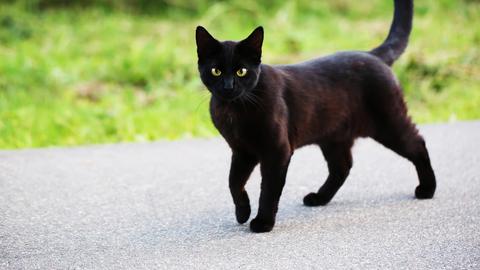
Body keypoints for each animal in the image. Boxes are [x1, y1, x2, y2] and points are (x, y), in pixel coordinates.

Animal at [194, 0, 436, 232]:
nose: (228, 86)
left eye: (241, 71)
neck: (234, 110)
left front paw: (263, 223)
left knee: (418, 143)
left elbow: (268, 190)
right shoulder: (242, 151)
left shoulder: (276, 151)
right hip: (333, 136)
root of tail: (372, 55)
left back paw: (427, 189)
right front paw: (242, 213)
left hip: (389, 122)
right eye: (216, 71)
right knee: (342, 166)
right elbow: (233, 182)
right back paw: (319, 198)